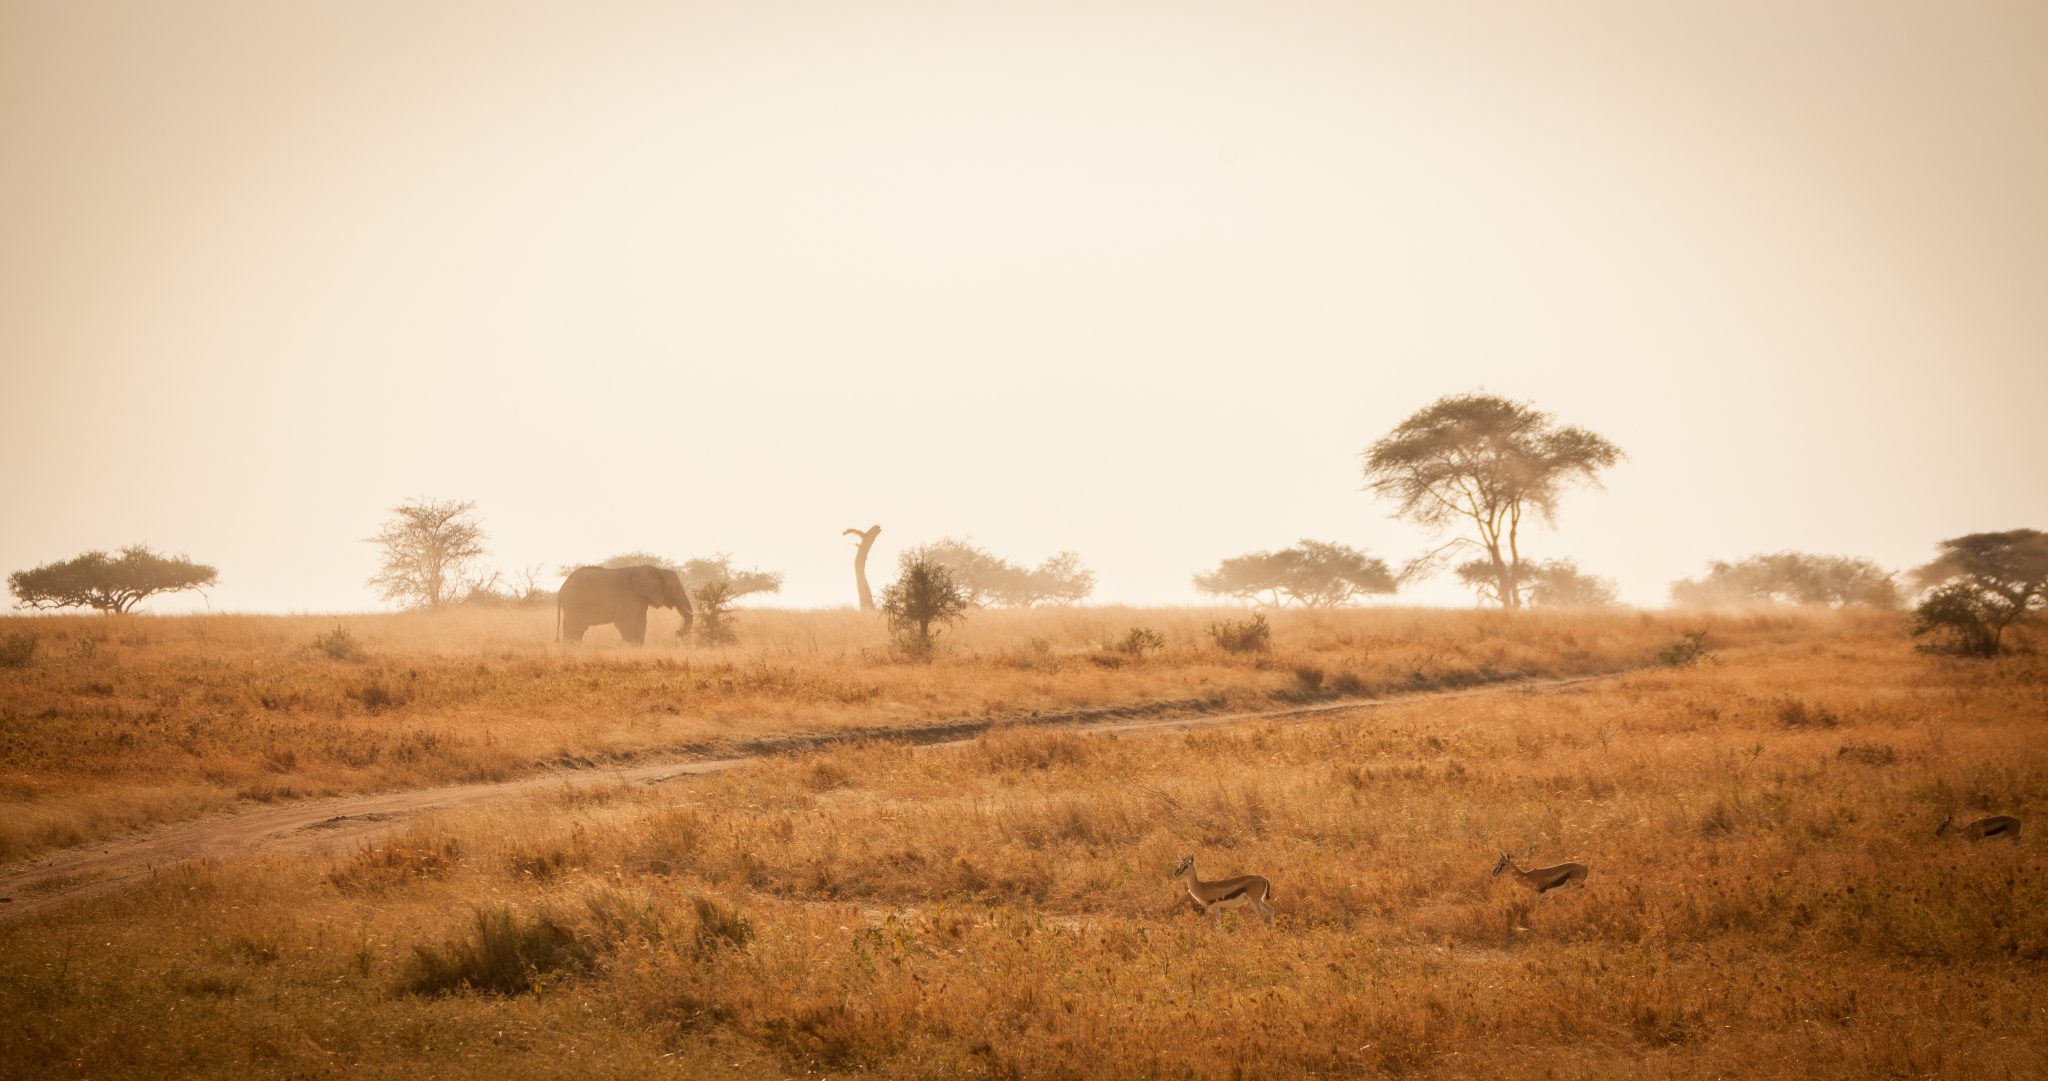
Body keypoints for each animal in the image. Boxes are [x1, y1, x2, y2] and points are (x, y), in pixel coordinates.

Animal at [556, 564, 694, 645]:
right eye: (673, 588)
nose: (677, 632)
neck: (657, 570)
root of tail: (561, 588)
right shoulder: (629, 596)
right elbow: (623, 623)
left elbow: (641, 624)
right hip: (574, 603)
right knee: (575, 628)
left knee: (573, 629)